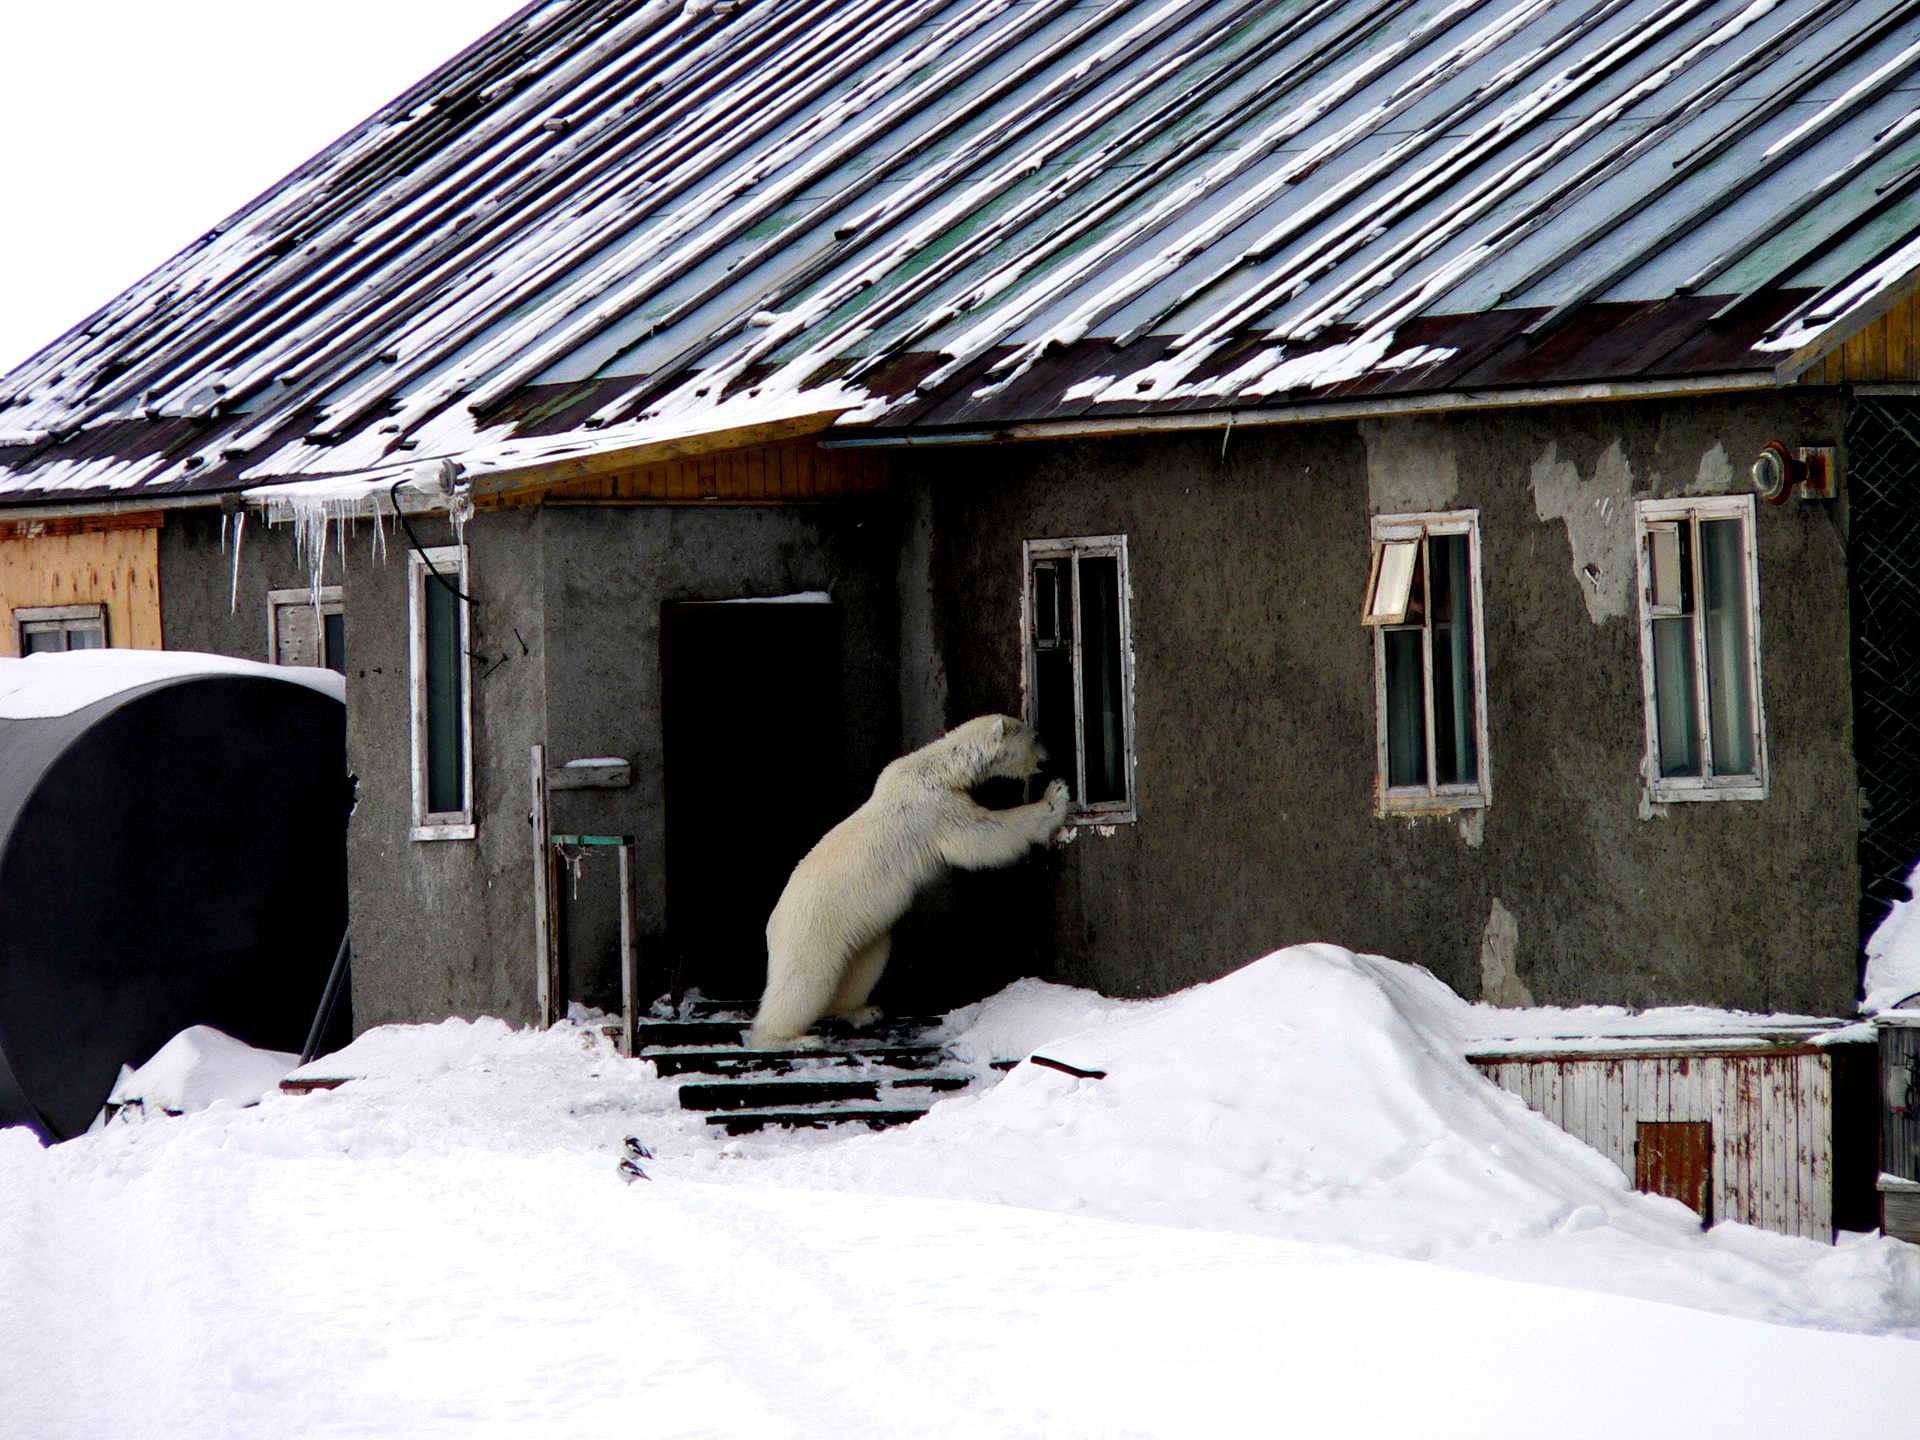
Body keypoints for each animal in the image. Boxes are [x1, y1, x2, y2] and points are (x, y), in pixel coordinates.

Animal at [748, 718, 1075, 1052]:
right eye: (1036, 737)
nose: (1050, 760)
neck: (937, 769)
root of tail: (772, 925)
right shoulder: (935, 808)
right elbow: (982, 834)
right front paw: (1054, 796)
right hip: (813, 930)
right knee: (803, 981)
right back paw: (788, 1038)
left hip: (860, 933)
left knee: (865, 962)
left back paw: (862, 1010)